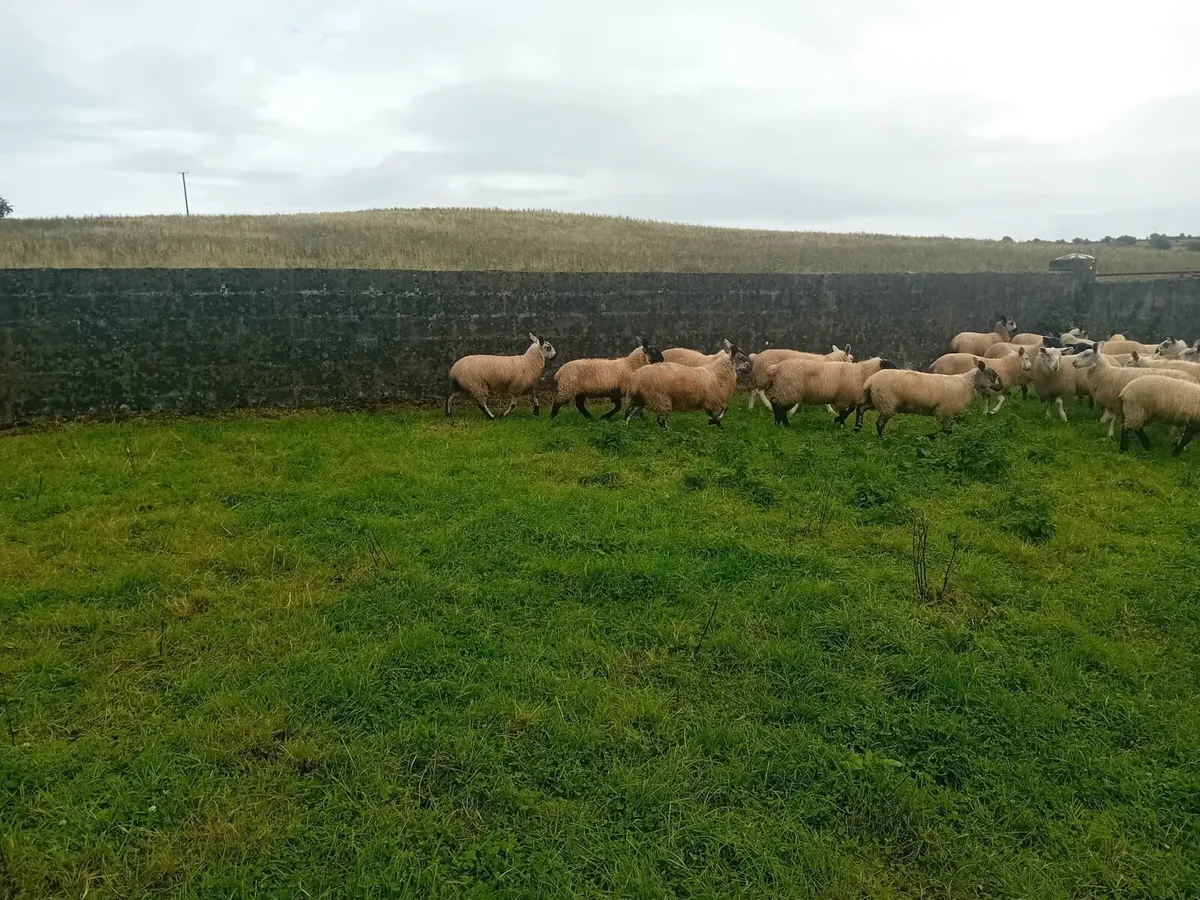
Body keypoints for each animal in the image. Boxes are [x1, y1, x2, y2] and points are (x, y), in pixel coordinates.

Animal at [763, 356, 898, 427]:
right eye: (891, 367)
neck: (863, 373)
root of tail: (776, 368)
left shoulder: (848, 398)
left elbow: (850, 410)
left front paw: (839, 421)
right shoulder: (844, 398)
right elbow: (845, 411)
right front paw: (839, 421)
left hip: (785, 391)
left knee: (778, 406)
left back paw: (780, 423)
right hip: (788, 391)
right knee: (778, 407)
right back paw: (783, 424)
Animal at [854, 359, 1004, 438]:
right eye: (991, 375)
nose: (1001, 386)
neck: (966, 383)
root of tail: (870, 381)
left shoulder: (944, 411)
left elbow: (947, 429)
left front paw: (930, 437)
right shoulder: (945, 410)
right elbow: (947, 430)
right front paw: (931, 437)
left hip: (874, 399)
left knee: (860, 408)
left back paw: (857, 428)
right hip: (886, 401)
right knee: (879, 423)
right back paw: (881, 438)